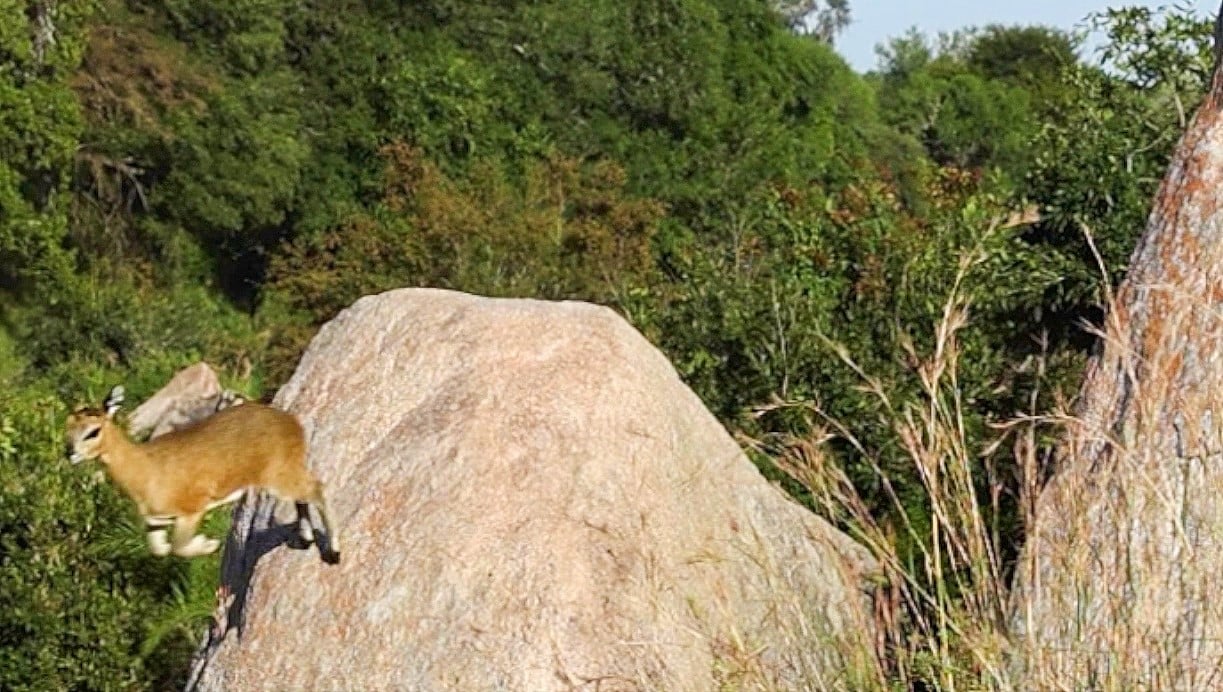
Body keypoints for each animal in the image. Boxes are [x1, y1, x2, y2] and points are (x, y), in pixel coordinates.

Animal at [64, 385, 340, 564]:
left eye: (93, 431)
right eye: (68, 426)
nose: (70, 453)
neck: (147, 470)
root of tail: (292, 422)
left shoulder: (191, 511)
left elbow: (179, 547)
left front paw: (209, 544)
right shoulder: (156, 520)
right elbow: (161, 549)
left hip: (277, 478)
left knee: (317, 489)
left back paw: (333, 553)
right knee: (305, 496)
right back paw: (305, 539)